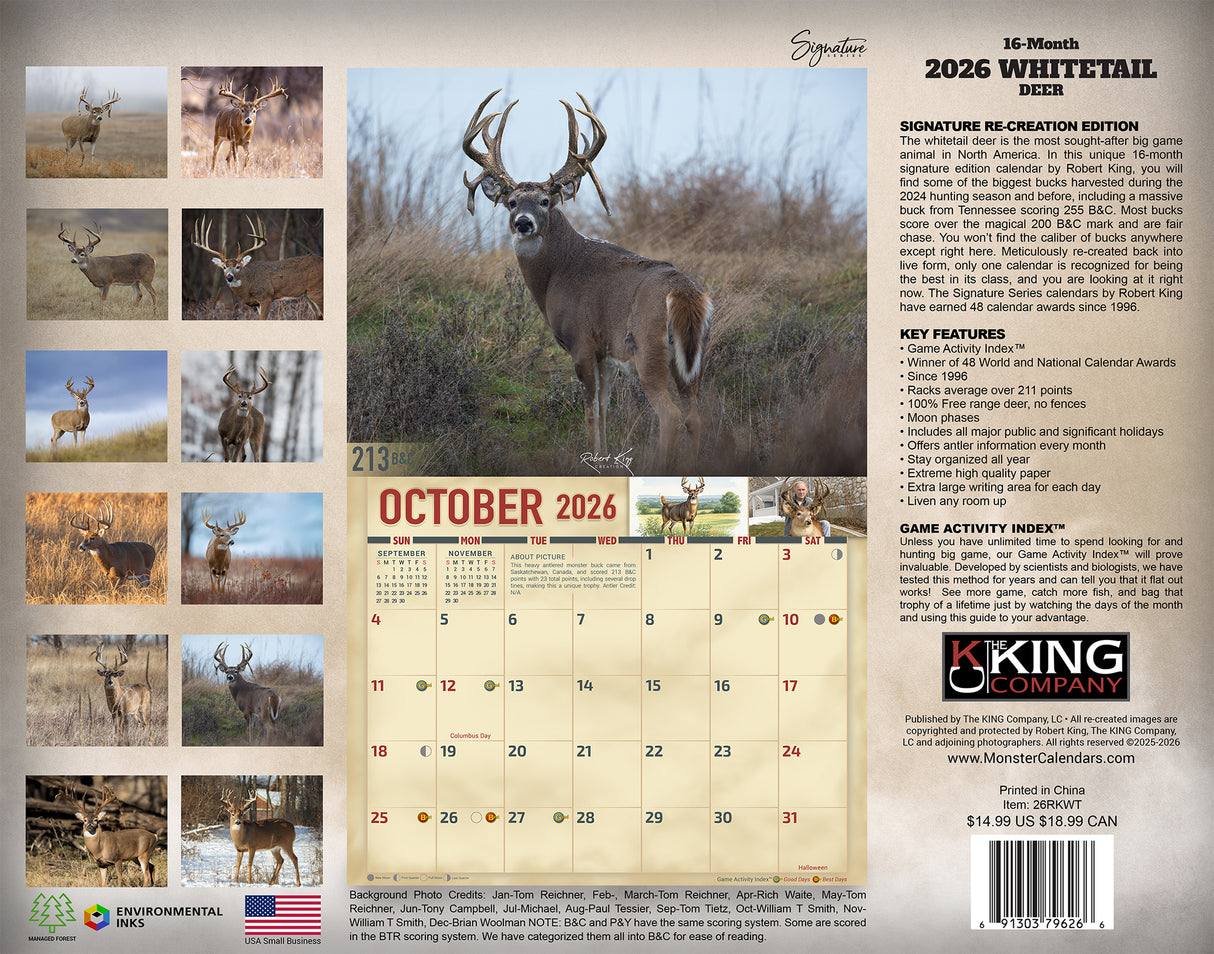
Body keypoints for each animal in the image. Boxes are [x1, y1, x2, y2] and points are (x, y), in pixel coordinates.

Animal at [192, 215, 323, 319]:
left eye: (238, 266)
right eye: (224, 267)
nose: (229, 277)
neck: (249, 284)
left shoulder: (266, 297)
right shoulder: (257, 304)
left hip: (317, 290)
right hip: (307, 295)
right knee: (319, 315)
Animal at [462, 90, 713, 468]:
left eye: (545, 200)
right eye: (511, 201)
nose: (523, 223)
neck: (557, 274)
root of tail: (683, 292)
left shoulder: (580, 340)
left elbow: (590, 411)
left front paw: (592, 460)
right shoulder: (605, 354)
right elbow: (605, 410)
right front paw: (605, 458)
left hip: (649, 347)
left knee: (669, 414)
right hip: (692, 360)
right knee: (694, 415)